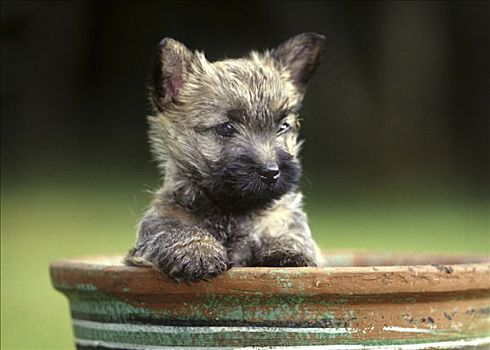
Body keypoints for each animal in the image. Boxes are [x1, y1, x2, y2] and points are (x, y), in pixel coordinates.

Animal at [125, 32, 326, 284]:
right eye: (226, 128)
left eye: (283, 127)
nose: (271, 172)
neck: (232, 211)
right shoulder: (159, 223)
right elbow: (175, 230)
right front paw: (198, 251)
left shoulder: (281, 218)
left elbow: (290, 231)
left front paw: (288, 250)